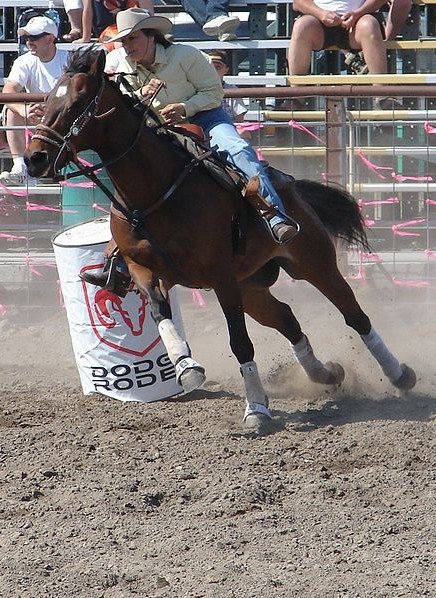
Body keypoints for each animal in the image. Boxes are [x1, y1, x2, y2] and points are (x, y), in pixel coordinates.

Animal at [24, 49, 416, 428]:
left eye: (77, 101)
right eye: (46, 100)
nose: (34, 158)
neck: (153, 193)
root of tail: (291, 188)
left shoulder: (220, 275)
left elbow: (240, 342)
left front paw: (256, 409)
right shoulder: (143, 268)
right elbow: (159, 311)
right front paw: (186, 366)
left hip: (313, 263)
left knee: (354, 315)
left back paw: (399, 375)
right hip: (251, 287)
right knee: (288, 320)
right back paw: (326, 374)